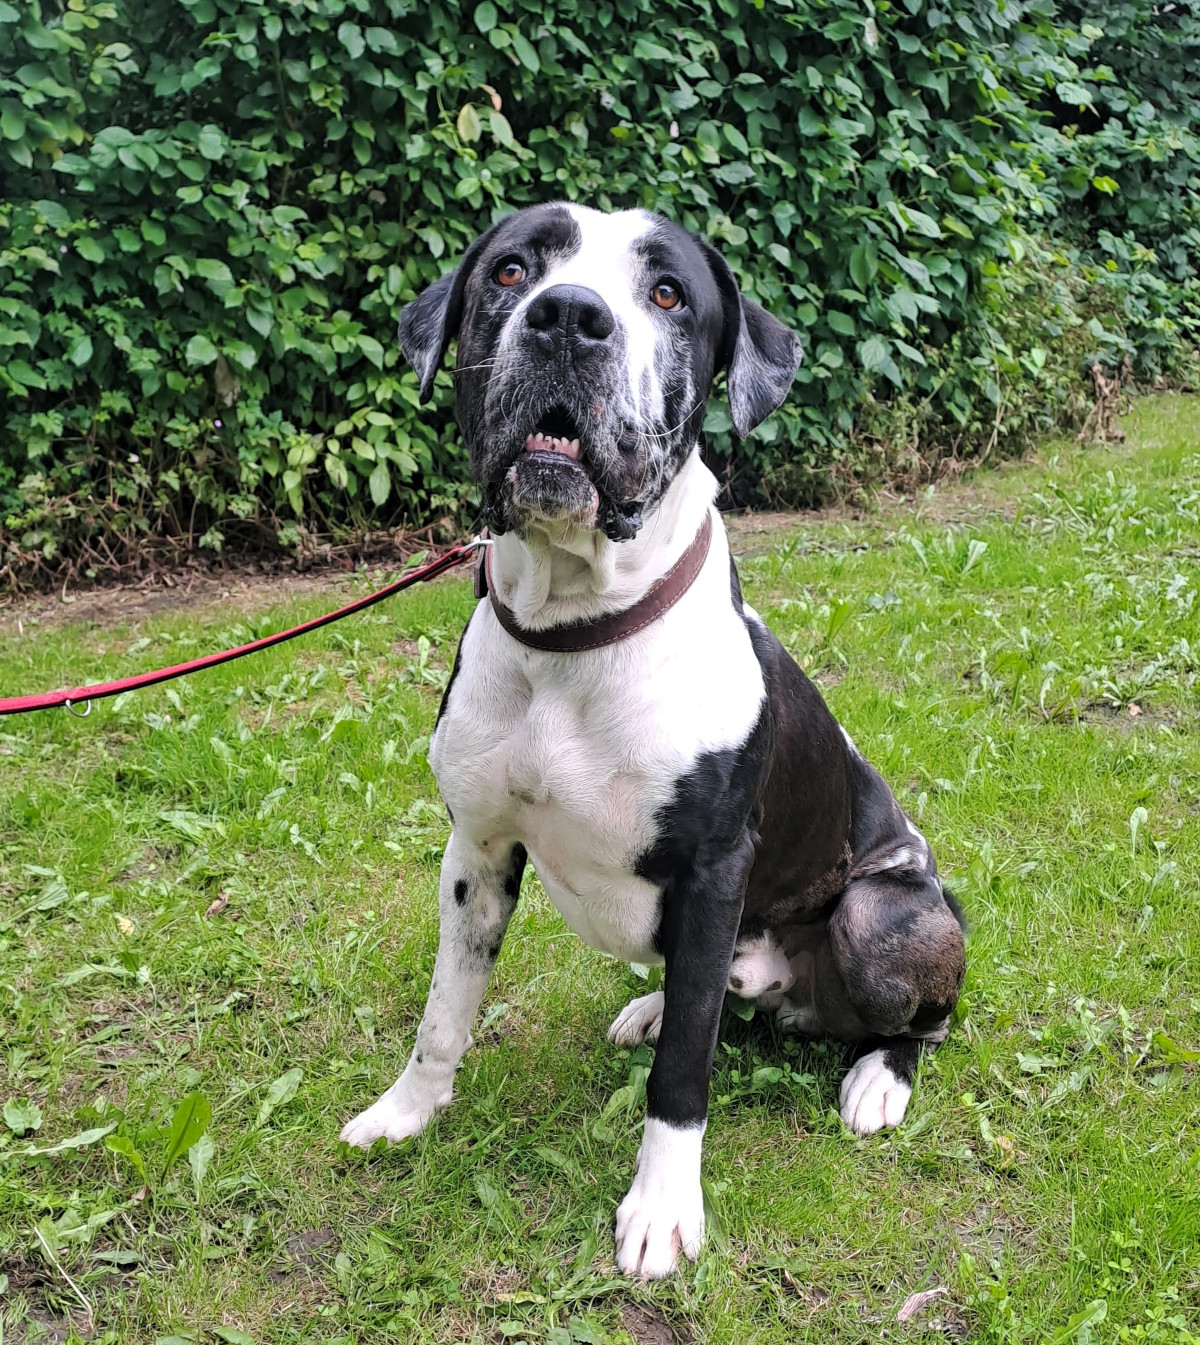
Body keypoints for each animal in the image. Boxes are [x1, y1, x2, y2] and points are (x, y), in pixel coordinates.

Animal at [340, 204, 963, 1275]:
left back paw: (877, 1078)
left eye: (667, 293)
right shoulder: (475, 853)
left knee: (917, 1021)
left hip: (878, 918)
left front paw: (663, 1207)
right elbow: (443, 1013)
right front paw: (407, 1111)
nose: (568, 317)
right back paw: (657, 1005)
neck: (575, 625)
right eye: (511, 270)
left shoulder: (717, 871)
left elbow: (682, 1078)